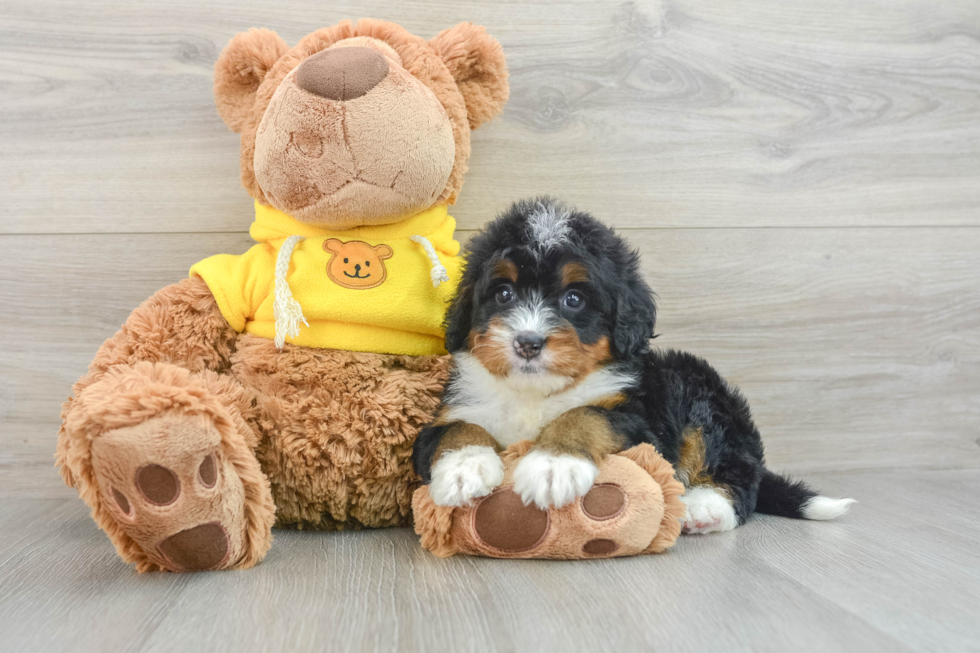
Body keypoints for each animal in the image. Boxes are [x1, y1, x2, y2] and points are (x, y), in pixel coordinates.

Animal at [410, 199, 852, 536]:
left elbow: (585, 415)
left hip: (697, 390)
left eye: (574, 299)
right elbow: (456, 429)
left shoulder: (640, 423)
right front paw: (464, 469)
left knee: (738, 476)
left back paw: (704, 508)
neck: (537, 392)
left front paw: (554, 465)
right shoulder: (452, 411)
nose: (527, 342)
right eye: (503, 293)